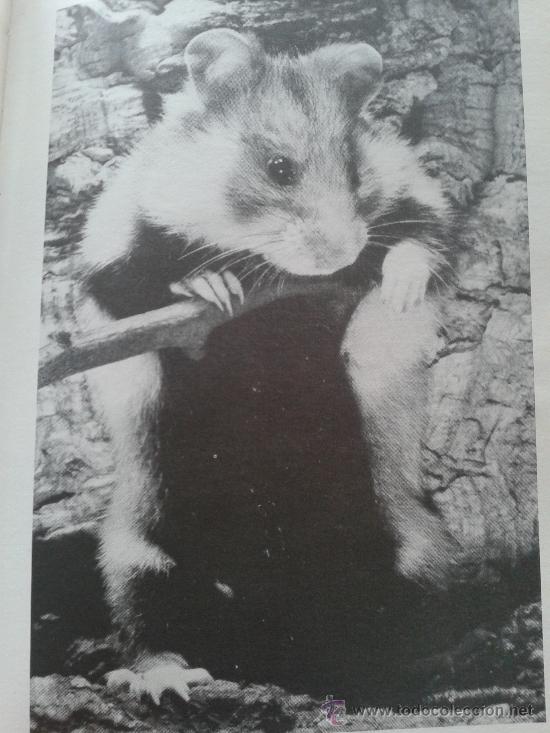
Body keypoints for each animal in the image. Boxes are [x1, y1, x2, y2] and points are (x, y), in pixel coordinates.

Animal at [78, 28, 456, 703]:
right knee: (149, 625)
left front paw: (400, 288)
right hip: (138, 549)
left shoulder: (422, 200)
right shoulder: (109, 252)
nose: (338, 256)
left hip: (414, 541)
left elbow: (422, 238)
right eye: (280, 169)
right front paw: (212, 285)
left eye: (356, 171)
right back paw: (169, 681)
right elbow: (143, 281)